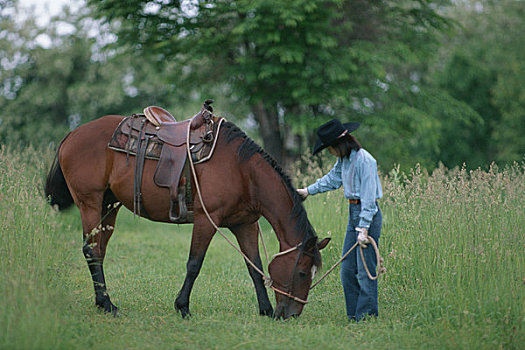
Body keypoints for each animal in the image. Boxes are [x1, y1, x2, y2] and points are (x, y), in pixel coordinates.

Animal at [45, 107, 328, 320]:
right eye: (303, 273)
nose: (292, 314)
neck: (243, 171)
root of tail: (72, 134)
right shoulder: (207, 219)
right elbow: (194, 264)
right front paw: (182, 306)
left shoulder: (245, 224)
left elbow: (253, 266)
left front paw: (265, 309)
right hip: (90, 204)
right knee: (91, 251)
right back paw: (107, 304)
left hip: (108, 206)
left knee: (99, 251)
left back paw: (101, 301)